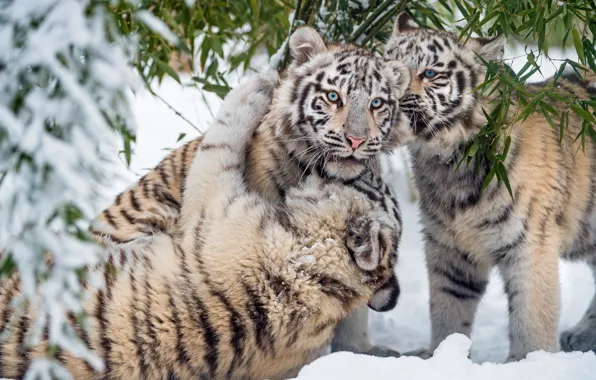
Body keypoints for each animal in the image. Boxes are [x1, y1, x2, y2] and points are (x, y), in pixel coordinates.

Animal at [1, 71, 400, 380]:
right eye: (378, 183)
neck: (320, 280)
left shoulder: (214, 201)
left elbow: (221, 138)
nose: (365, 148)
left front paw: (257, 84)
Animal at [384, 11, 596, 360]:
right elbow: (448, 311)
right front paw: (442, 357)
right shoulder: (448, 248)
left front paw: (529, 362)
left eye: (429, 73)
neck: (446, 162)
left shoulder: (530, 243)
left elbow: (531, 316)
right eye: (389, 66)